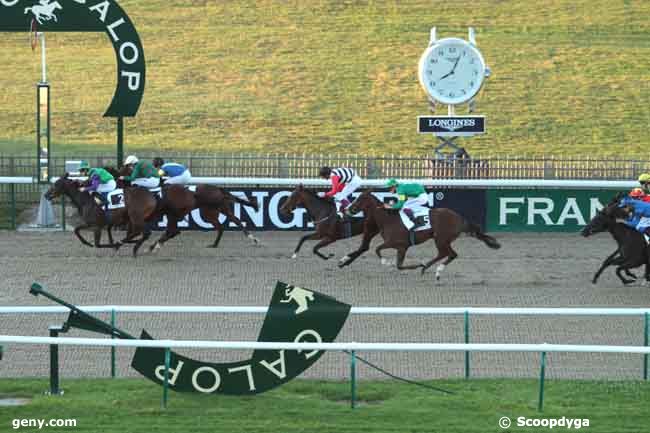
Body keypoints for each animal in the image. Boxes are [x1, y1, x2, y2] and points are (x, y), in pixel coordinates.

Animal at [346, 190, 498, 278]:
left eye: (359, 199)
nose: (348, 209)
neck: (388, 219)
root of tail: (460, 218)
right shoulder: (401, 247)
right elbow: (397, 263)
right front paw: (416, 265)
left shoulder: (398, 244)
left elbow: (379, 251)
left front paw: (386, 262)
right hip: (442, 239)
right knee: (445, 254)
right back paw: (426, 268)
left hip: (441, 238)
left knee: (450, 254)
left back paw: (436, 270)